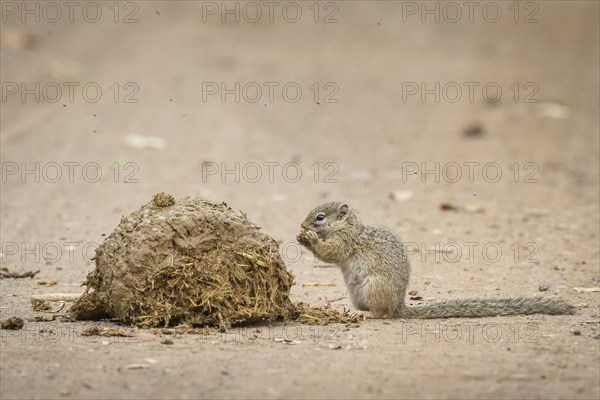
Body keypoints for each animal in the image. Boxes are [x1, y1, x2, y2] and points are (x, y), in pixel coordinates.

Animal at [298, 202, 576, 320]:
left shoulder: (346, 240)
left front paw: (309, 238)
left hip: (375, 288)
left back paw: (363, 313)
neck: (349, 226)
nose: (302, 224)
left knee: (381, 314)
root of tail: (399, 306)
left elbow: (332, 253)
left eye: (320, 217)